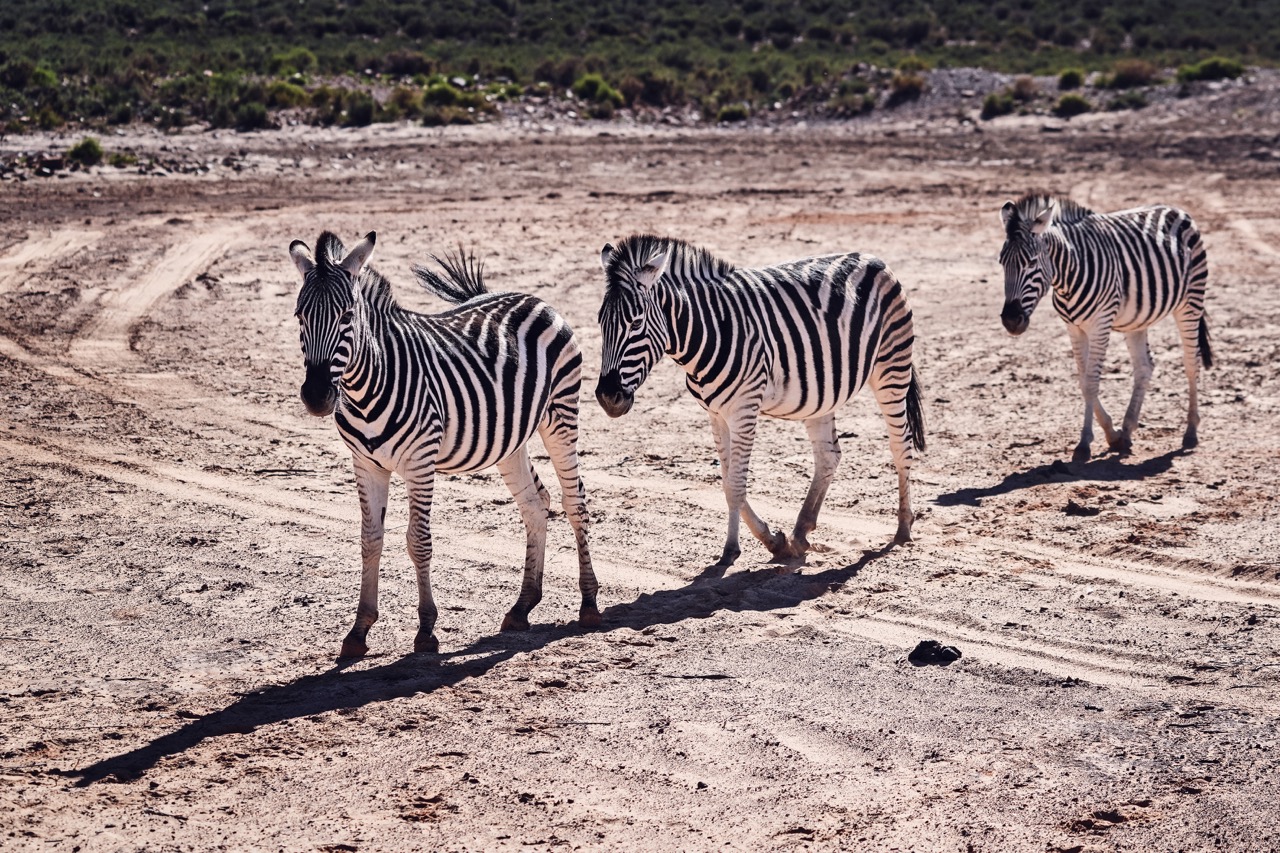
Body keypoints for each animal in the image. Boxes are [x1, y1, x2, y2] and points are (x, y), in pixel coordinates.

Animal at [288, 230, 600, 658]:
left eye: (347, 316)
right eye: (300, 317)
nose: (317, 397)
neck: (368, 384)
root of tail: (532, 298)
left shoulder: (420, 461)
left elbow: (418, 541)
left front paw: (426, 630)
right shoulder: (366, 464)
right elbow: (370, 540)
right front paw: (358, 630)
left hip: (561, 415)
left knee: (574, 502)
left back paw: (589, 603)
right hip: (509, 439)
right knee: (536, 504)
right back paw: (522, 606)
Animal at [594, 235, 925, 568]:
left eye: (636, 323)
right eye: (600, 322)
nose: (608, 397)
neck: (709, 330)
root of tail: (872, 258)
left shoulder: (744, 409)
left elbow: (736, 485)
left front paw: (732, 549)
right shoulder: (716, 414)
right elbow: (728, 482)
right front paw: (774, 541)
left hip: (891, 366)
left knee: (901, 445)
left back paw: (903, 527)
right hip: (823, 394)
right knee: (828, 456)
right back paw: (801, 531)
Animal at [998, 194, 1212, 463]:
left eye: (1032, 262)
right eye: (1001, 263)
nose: (1011, 320)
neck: (1068, 276)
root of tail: (1176, 209)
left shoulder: (1100, 324)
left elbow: (1091, 381)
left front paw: (1084, 444)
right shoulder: (1074, 328)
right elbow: (1082, 380)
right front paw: (1113, 434)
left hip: (1191, 301)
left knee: (1191, 363)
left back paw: (1191, 431)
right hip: (1137, 318)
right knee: (1145, 367)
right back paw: (1128, 430)